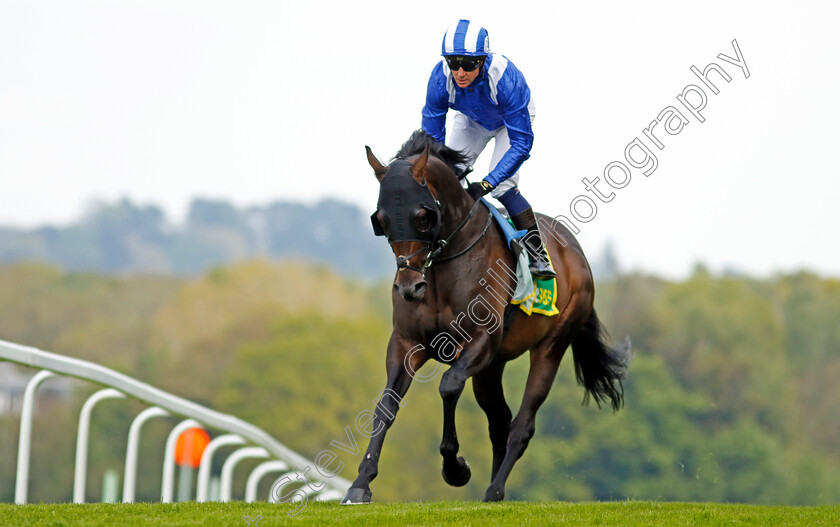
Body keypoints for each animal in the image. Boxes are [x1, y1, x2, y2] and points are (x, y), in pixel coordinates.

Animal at [338, 130, 628, 506]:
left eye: (422, 216)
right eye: (382, 220)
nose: (408, 287)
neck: (441, 265)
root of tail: (577, 254)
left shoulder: (479, 341)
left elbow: (448, 386)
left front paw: (455, 468)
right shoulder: (406, 343)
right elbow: (386, 404)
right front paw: (361, 482)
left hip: (551, 345)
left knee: (522, 424)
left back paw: (494, 490)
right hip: (492, 368)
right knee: (499, 421)